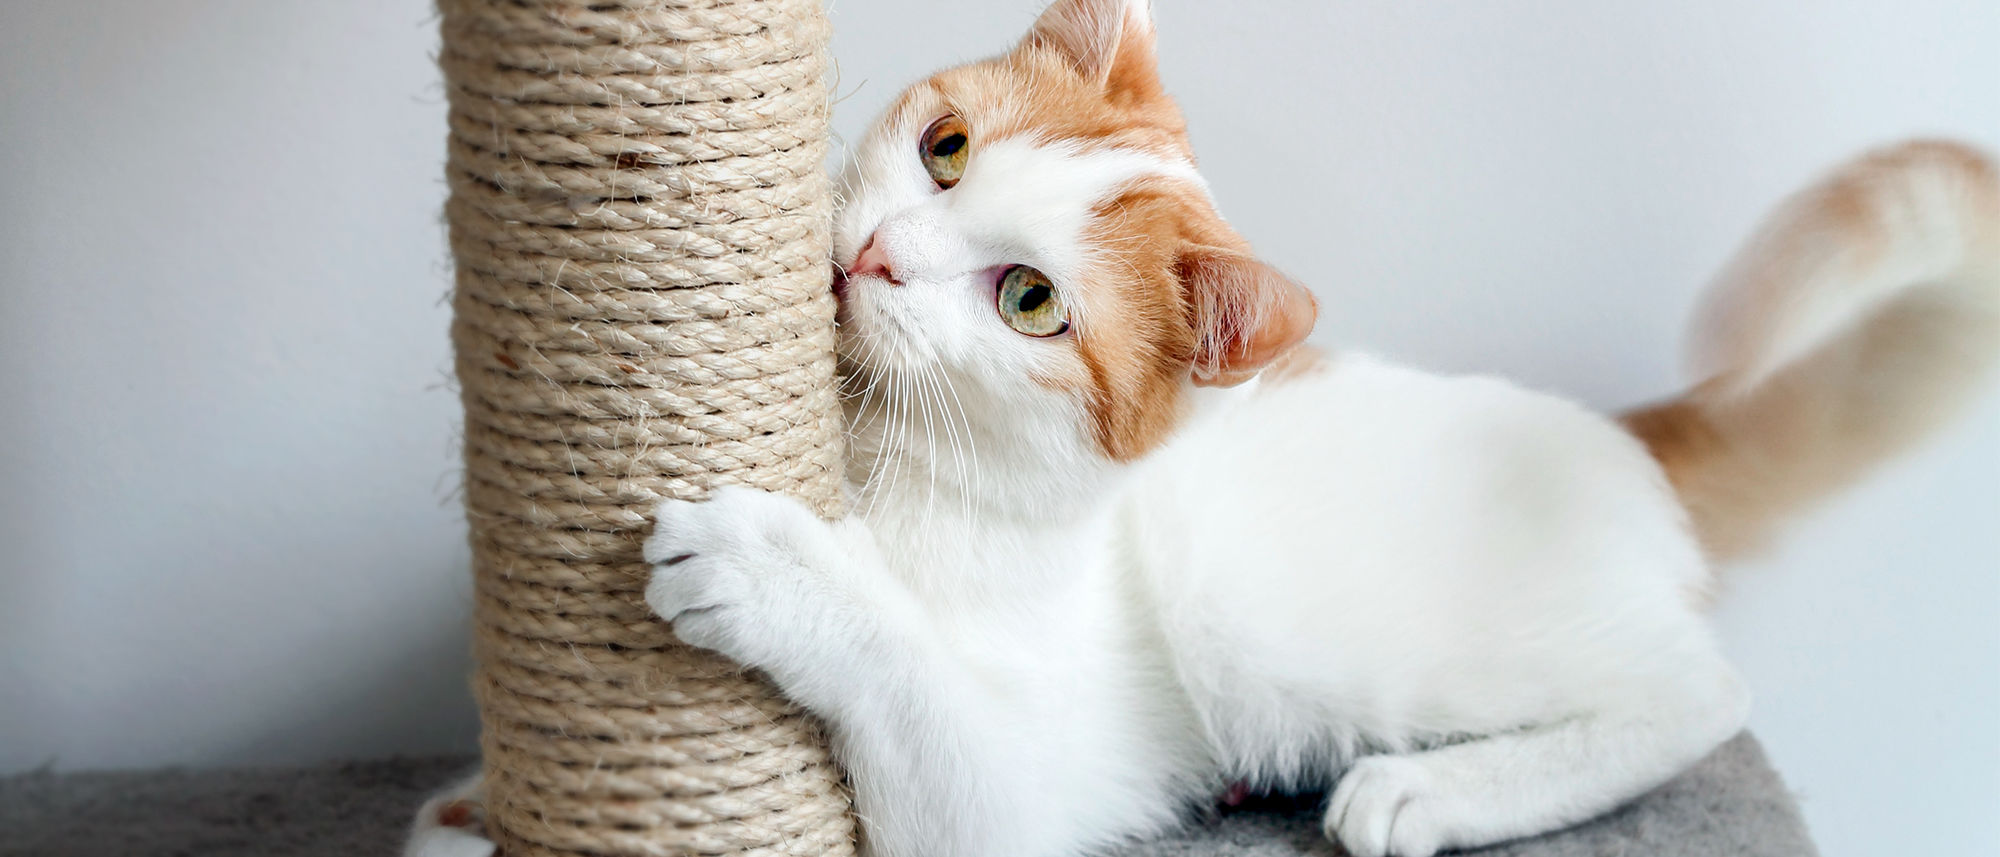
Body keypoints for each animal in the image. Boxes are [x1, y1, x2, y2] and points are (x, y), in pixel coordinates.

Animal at [406, 1, 2000, 857]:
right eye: (944, 148)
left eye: (1030, 300)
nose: (869, 260)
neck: (883, 452)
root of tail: (1615, 434)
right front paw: (464, 811)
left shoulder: (1012, 798)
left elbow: (910, 679)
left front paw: (782, 573)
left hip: (1335, 634)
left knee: (1696, 692)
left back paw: (1427, 788)